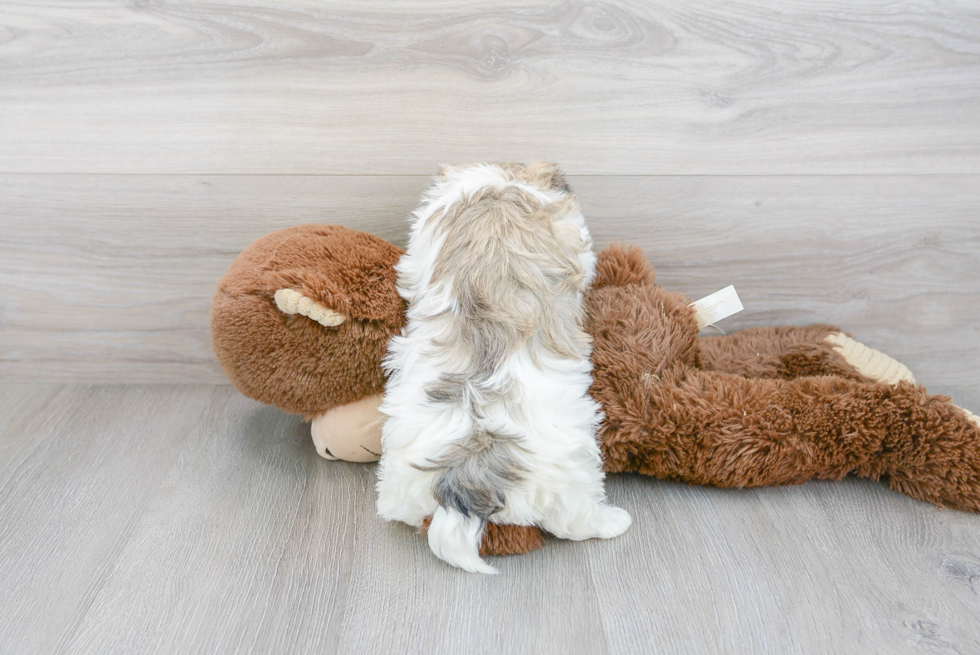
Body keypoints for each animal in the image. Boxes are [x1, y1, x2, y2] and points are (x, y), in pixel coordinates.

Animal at [372, 164, 632, 576]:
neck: (499, 190)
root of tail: (467, 473)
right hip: (571, 471)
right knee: (574, 519)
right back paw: (612, 522)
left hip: (403, 479)